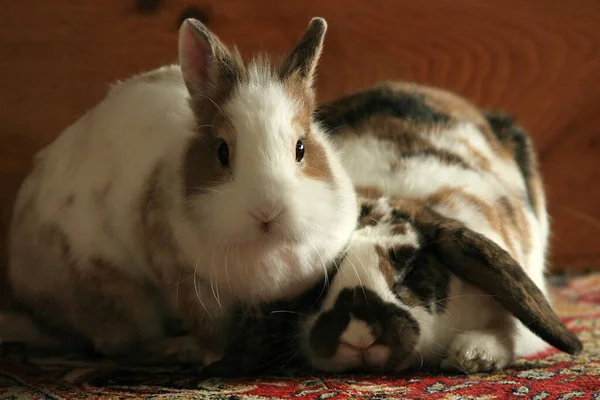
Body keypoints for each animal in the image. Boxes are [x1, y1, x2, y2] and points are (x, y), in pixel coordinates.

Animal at [3, 17, 356, 364]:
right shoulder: (185, 281)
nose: (267, 211)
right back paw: (171, 350)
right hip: (116, 296)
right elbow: (211, 333)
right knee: (118, 344)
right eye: (222, 152)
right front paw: (211, 357)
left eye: (301, 148)